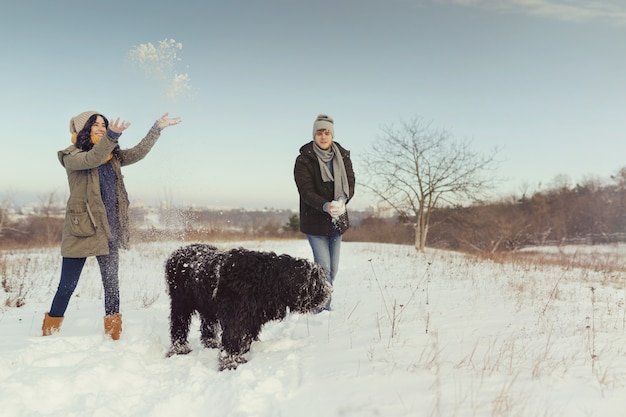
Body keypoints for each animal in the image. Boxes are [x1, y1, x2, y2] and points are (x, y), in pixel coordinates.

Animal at [166, 242, 332, 368]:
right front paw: (231, 362)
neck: (266, 279)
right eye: (315, 281)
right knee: (178, 325)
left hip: (207, 305)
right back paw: (180, 349)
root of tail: (176, 252)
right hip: (180, 303)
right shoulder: (234, 317)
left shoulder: (253, 318)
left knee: (208, 325)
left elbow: (246, 337)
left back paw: (211, 343)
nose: (329, 291)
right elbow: (233, 338)